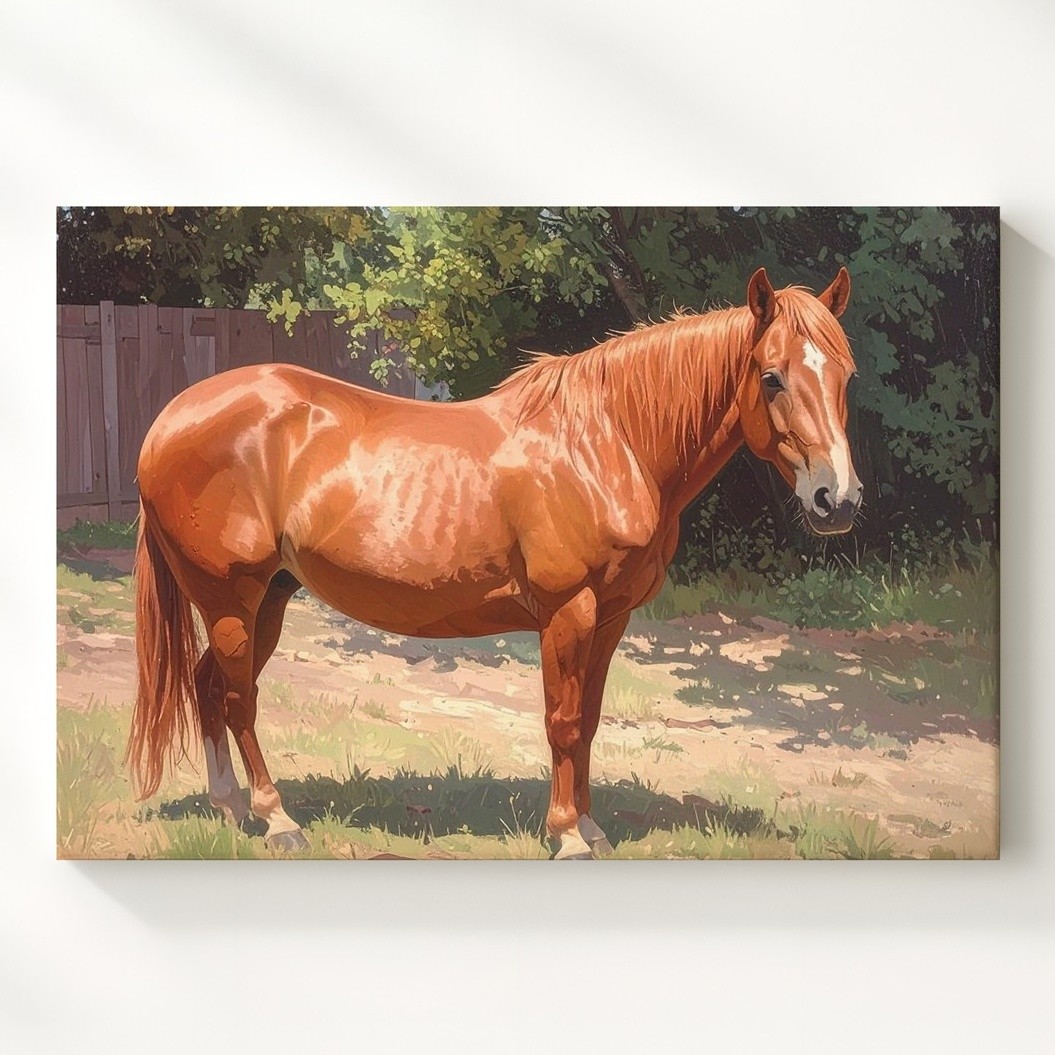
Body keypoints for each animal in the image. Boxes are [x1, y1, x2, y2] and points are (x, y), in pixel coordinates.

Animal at [127, 266, 861, 859]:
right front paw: (567, 835)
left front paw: (590, 827)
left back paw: (231, 807)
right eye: (771, 376)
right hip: (231, 598)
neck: (608, 442)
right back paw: (277, 820)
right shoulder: (568, 612)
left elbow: (589, 720)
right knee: (237, 698)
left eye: (845, 376)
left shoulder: (612, 618)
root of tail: (167, 421)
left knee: (206, 687)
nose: (838, 498)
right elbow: (562, 720)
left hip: (269, 597)